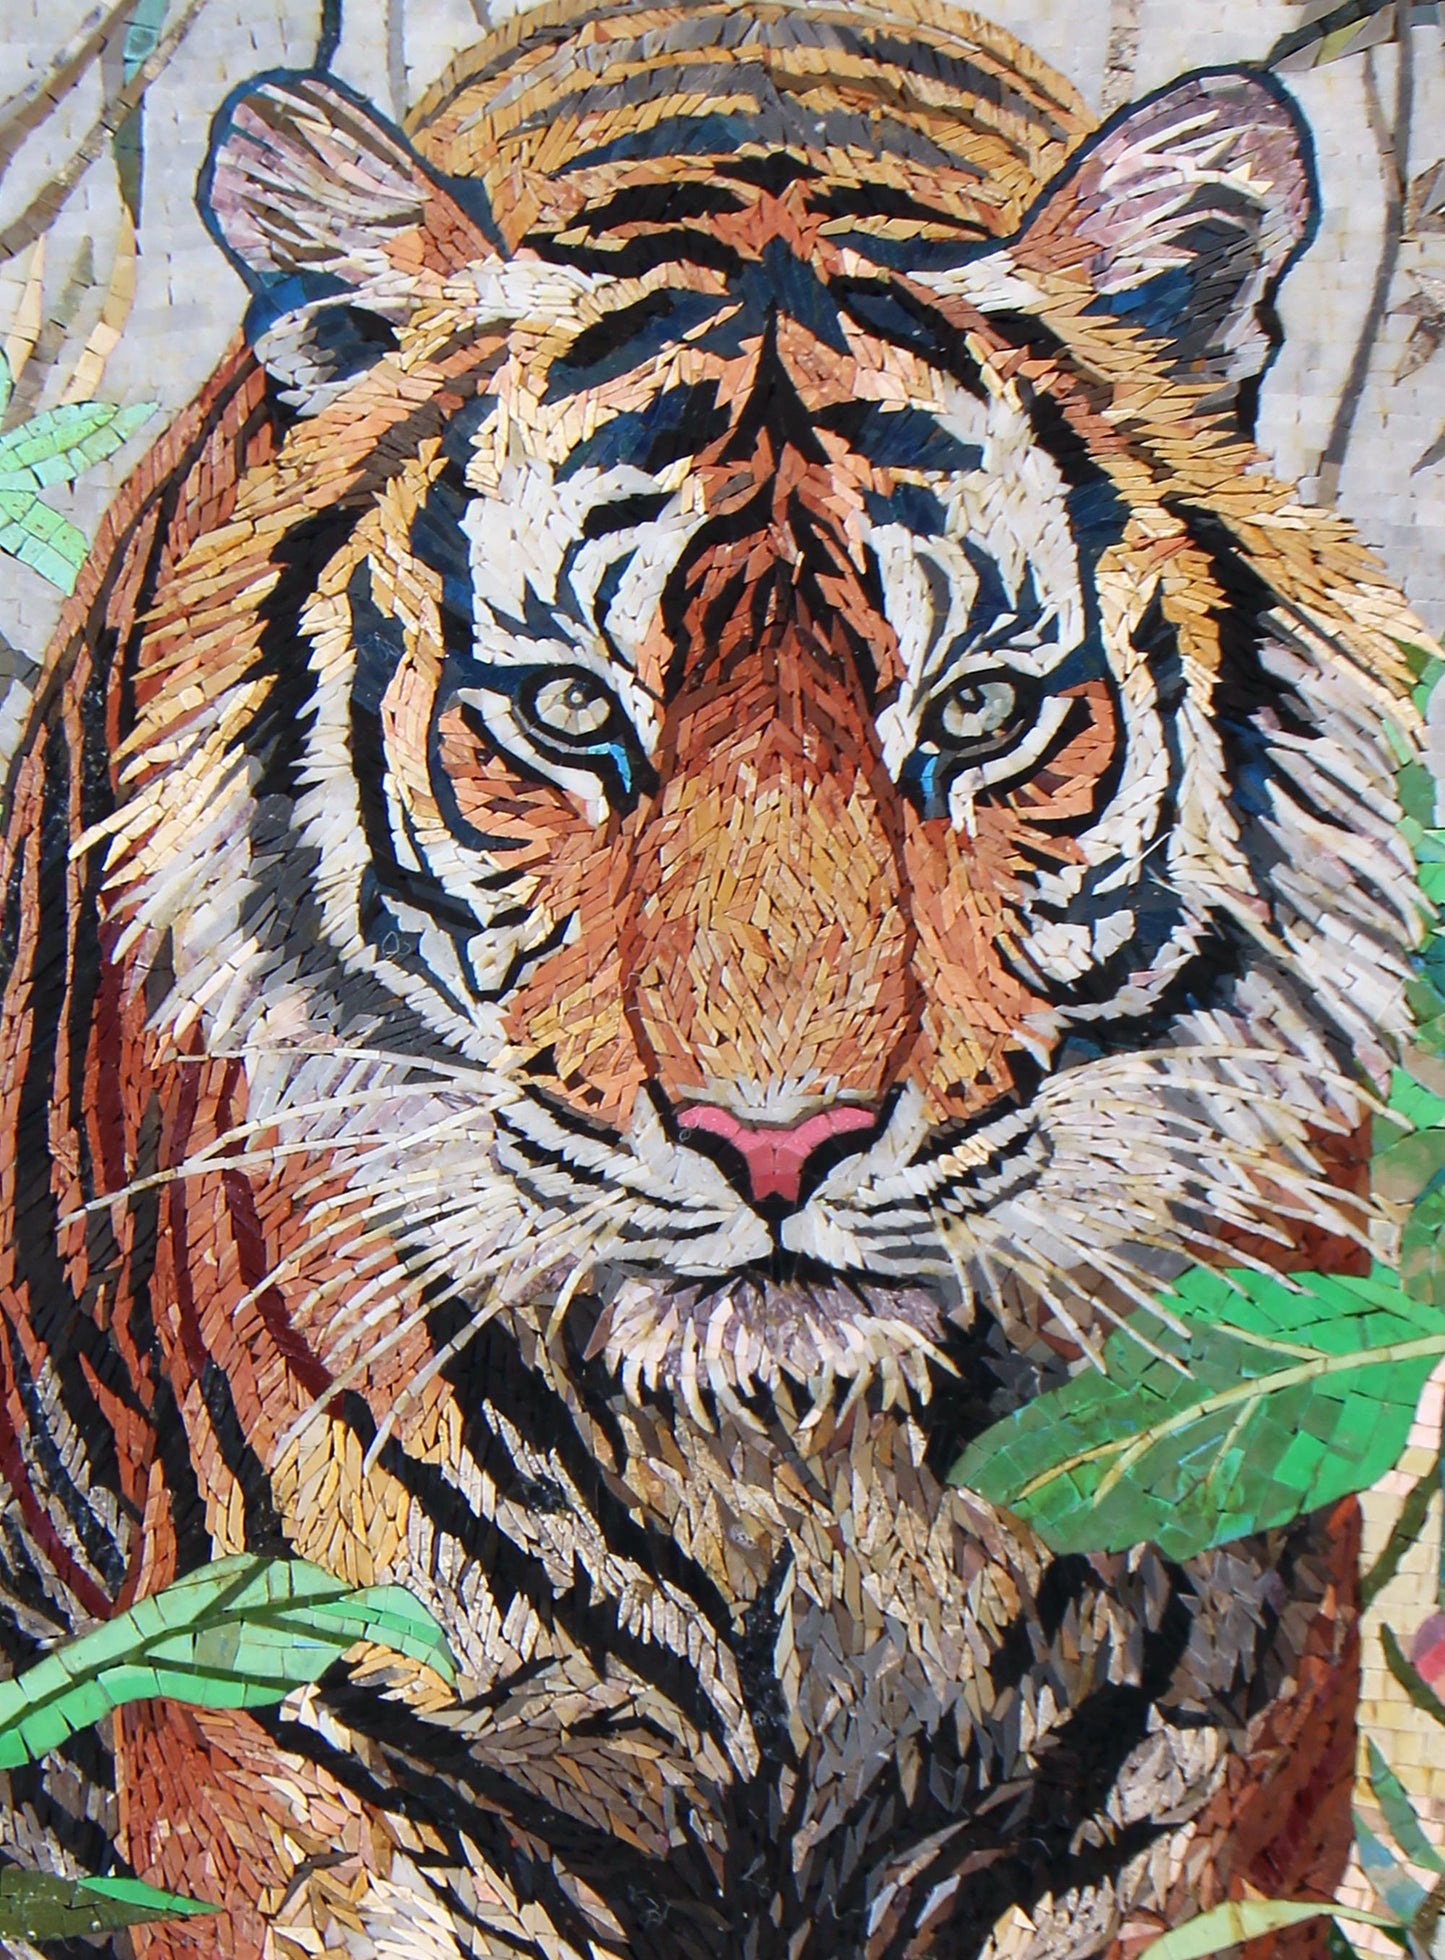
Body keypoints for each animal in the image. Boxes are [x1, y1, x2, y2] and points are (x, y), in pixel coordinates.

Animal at [0, 1, 1430, 1954]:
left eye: (981, 709)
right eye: (567, 710)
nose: (773, 1148)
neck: (796, 1503)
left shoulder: (1190, 1747)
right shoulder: (312, 1731)